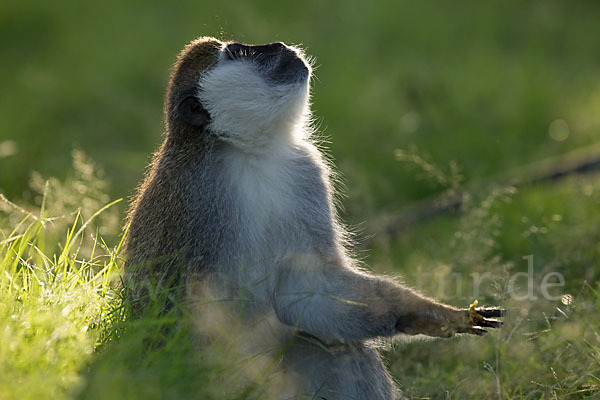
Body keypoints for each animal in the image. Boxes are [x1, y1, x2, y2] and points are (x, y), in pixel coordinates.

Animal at [124, 36, 504, 398]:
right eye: (240, 52)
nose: (278, 45)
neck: (251, 154)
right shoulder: (196, 195)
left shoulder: (306, 171)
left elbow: (308, 286)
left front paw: (430, 315)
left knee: (332, 345)